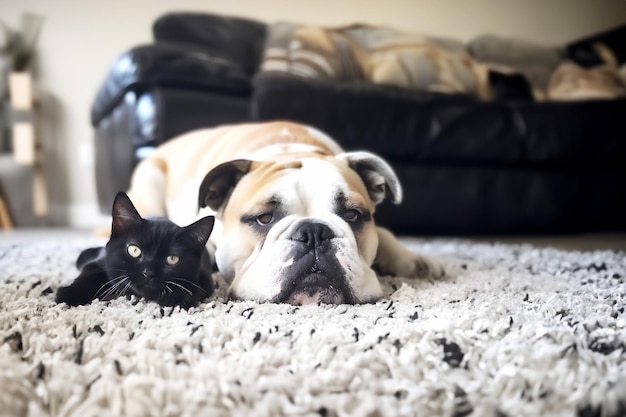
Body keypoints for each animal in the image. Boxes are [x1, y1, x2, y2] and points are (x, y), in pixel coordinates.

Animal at [56, 192, 217, 308]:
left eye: (172, 259)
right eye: (134, 250)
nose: (148, 273)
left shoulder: (205, 278)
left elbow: (194, 288)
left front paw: (176, 297)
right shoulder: (101, 263)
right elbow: (89, 273)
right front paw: (68, 294)